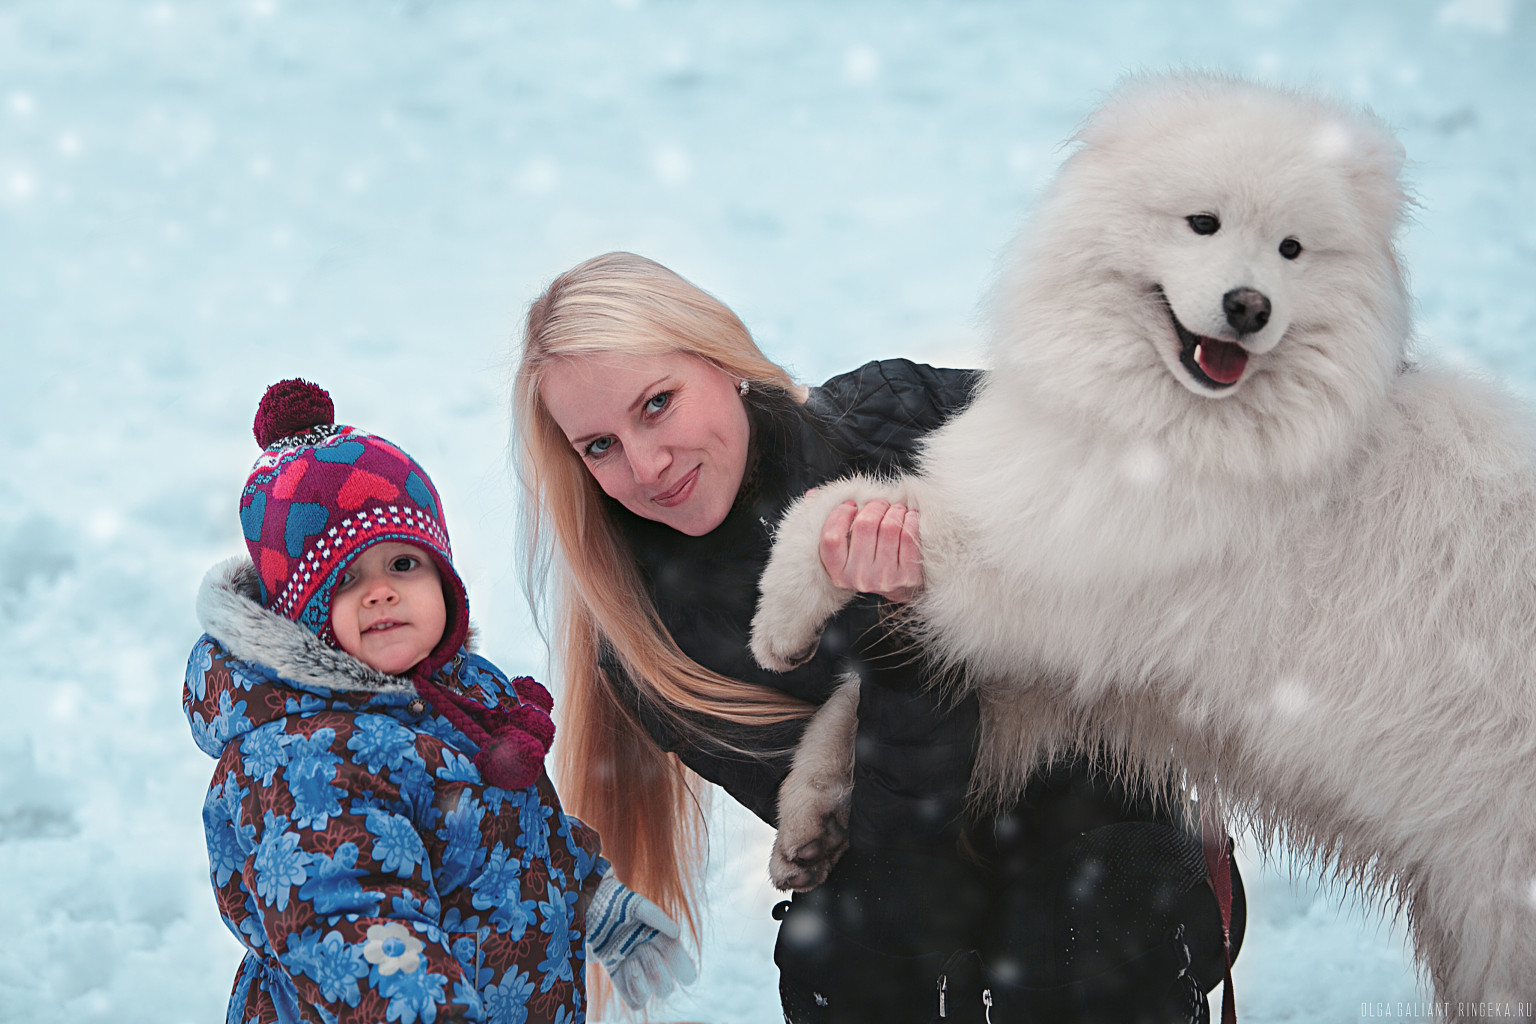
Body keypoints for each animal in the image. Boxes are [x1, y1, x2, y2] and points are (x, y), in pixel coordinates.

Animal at [752, 74, 1536, 1007]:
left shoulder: (1051, 574)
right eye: (1203, 223)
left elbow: (828, 508)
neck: (1176, 429)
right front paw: (810, 817)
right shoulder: (1071, 663)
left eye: (1292, 249)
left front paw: (777, 625)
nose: (1248, 306)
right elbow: (861, 703)